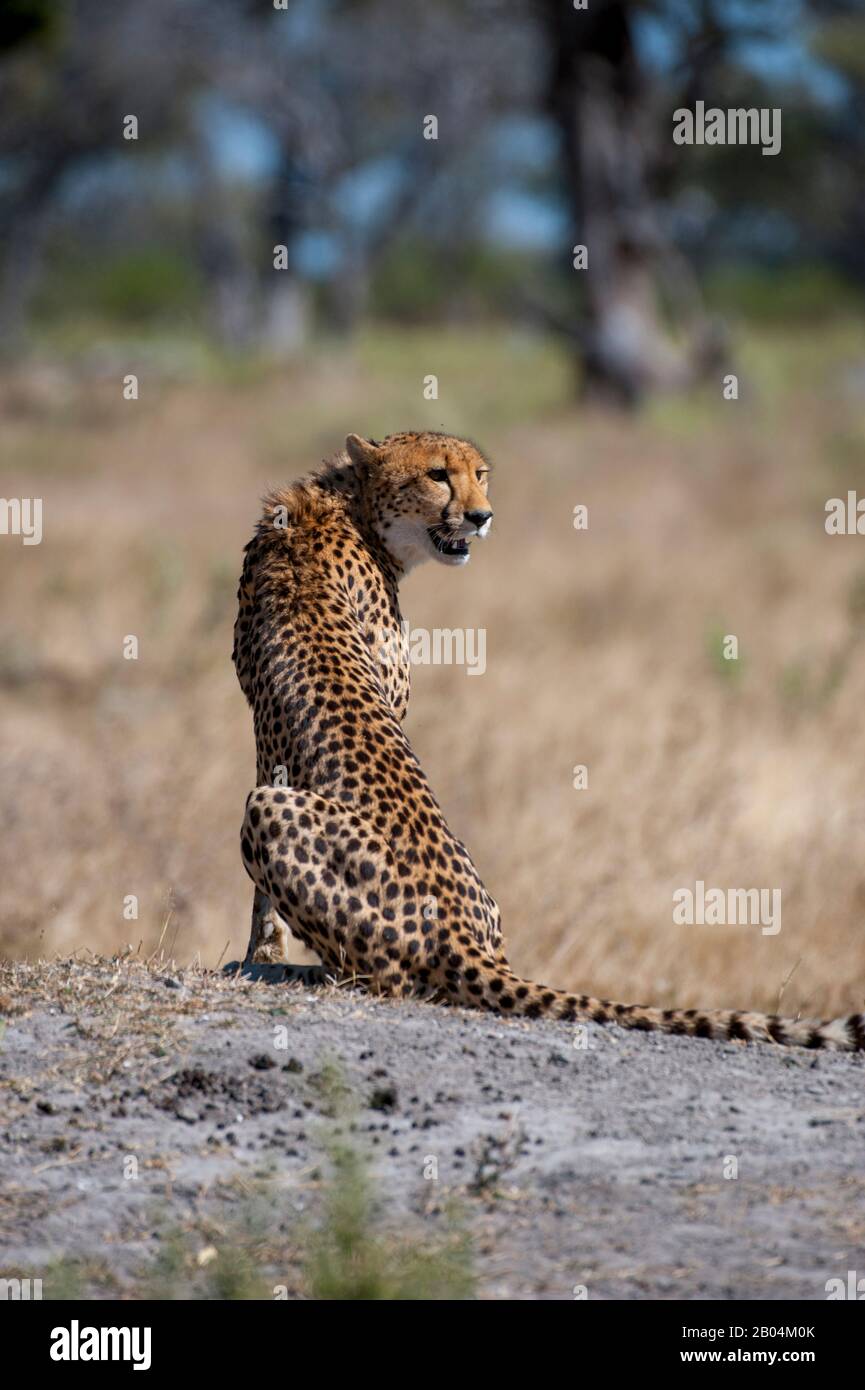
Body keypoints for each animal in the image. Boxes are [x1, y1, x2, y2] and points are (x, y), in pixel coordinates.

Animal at [232, 430, 864, 1052]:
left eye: (480, 475)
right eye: (437, 475)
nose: (482, 516)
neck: (344, 506)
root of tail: (459, 933)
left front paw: (263, 954)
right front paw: (260, 952)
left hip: (273, 814)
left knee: (386, 977)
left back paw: (306, 969)